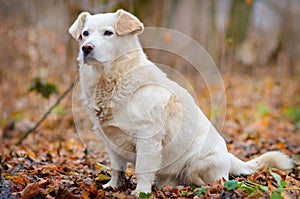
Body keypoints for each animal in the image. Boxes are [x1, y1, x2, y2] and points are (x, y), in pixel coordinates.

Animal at [68, 10, 292, 195]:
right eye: (85, 33)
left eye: (108, 33)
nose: (86, 48)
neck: (113, 79)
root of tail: (228, 156)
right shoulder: (111, 141)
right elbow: (116, 168)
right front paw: (113, 186)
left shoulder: (148, 138)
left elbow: (142, 169)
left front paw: (141, 191)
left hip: (196, 163)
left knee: (205, 181)